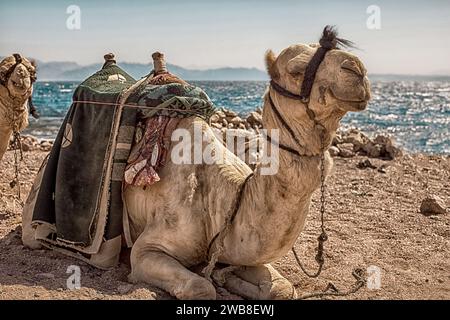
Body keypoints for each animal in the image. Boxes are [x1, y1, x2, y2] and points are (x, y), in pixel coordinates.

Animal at [21, 28, 370, 300]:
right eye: (297, 70)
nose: (358, 70)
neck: (222, 201)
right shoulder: (146, 250)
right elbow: (201, 287)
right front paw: (216, 279)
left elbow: (283, 288)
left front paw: (229, 277)